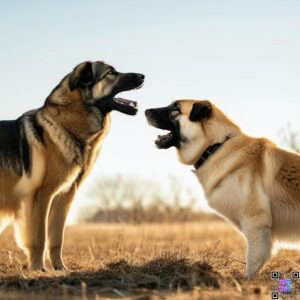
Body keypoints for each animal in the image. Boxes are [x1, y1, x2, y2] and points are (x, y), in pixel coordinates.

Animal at [0, 60, 144, 270]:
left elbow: (56, 238)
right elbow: (40, 237)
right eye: (111, 73)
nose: (142, 76)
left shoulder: (65, 195)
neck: (68, 127)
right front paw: (38, 268)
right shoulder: (42, 196)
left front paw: (60, 268)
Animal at [145, 100, 300, 276]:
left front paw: (245, 280)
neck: (215, 147)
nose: (145, 111)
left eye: (175, 109)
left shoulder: (256, 223)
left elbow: (252, 261)